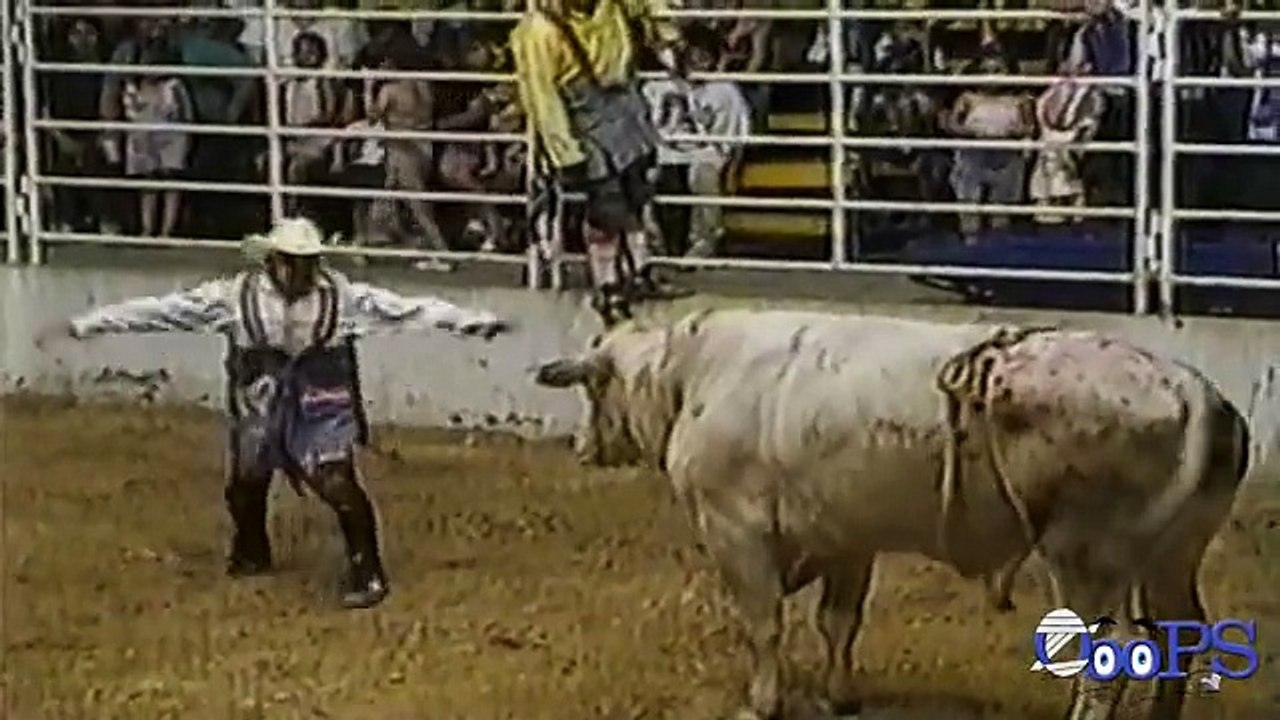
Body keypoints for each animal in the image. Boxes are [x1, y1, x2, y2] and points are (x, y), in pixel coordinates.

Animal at [534, 309, 1250, 720]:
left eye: (592, 384)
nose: (583, 446)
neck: (690, 376)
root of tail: (1193, 392)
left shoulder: (736, 531)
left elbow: (763, 626)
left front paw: (762, 704)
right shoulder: (847, 538)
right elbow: (838, 623)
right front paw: (839, 696)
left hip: (1087, 558)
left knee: (1115, 654)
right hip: (1168, 556)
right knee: (1178, 635)